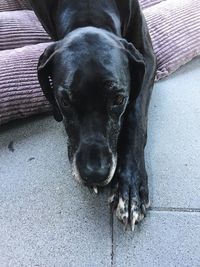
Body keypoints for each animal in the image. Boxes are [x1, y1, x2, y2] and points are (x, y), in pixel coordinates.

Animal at [30, 0, 156, 230]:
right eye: (64, 102)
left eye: (118, 99)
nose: (94, 174)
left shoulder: (147, 56)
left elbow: (135, 120)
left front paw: (129, 187)